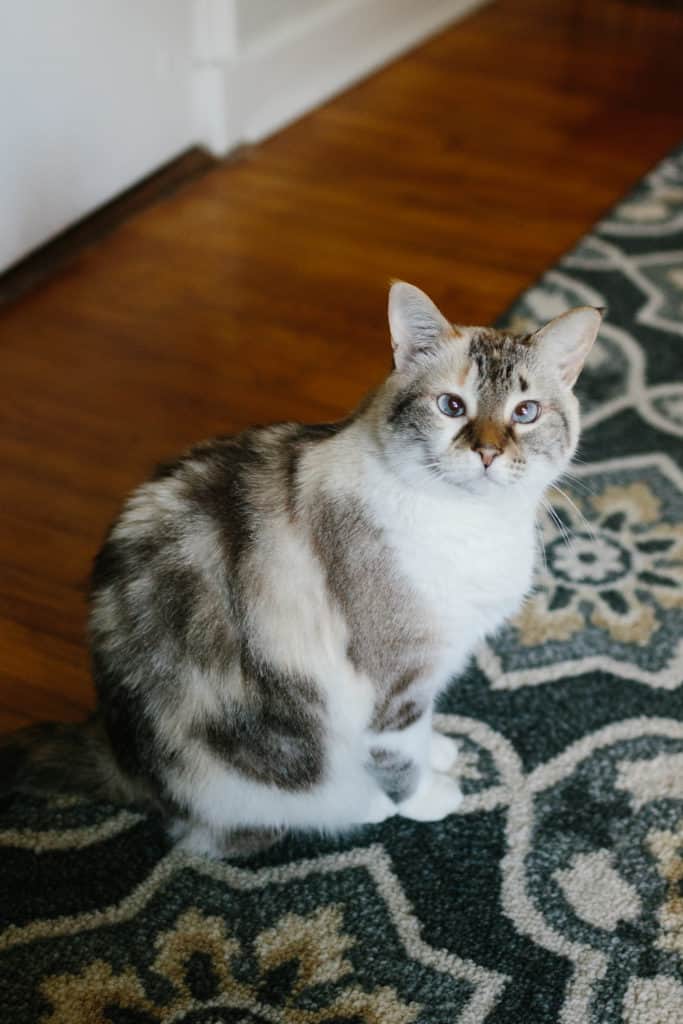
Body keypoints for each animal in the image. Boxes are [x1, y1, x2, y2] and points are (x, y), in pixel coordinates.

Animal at [2, 282, 602, 857]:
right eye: (452, 406)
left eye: (525, 412)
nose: (488, 453)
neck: (472, 524)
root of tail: (116, 752)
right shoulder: (392, 675)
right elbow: (399, 749)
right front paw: (427, 797)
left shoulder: (429, 670)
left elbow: (420, 728)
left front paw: (440, 750)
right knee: (229, 832)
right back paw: (361, 804)